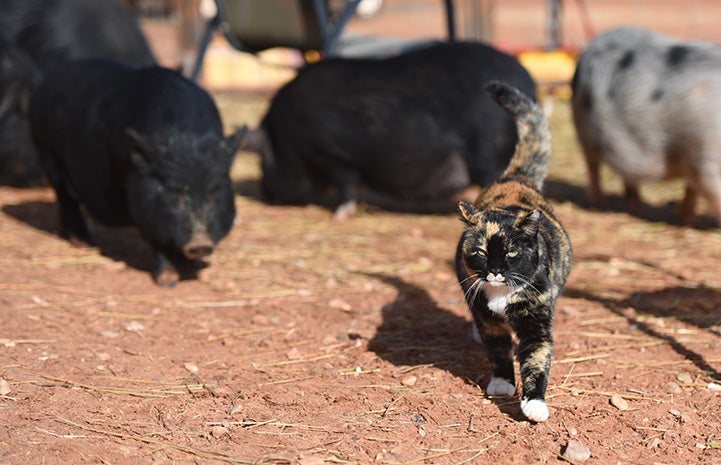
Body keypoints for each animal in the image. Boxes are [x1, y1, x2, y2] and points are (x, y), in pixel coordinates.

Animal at [29, 59, 245, 286]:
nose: (200, 243)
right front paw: (168, 282)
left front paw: (191, 267)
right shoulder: (140, 199)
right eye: (171, 191)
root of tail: (45, 83)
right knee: (66, 198)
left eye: (215, 191)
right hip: (46, 151)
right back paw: (83, 243)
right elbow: (156, 236)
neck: (184, 138)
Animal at [255, 40, 536, 219]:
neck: (285, 137)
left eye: (263, 163)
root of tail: (528, 83)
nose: (266, 196)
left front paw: (339, 216)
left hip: (489, 151)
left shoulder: (329, 152)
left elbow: (347, 183)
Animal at [456, 81, 572, 422]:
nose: (494, 272)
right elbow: (498, 350)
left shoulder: (536, 319)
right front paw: (502, 382)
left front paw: (534, 404)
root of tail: (515, 177)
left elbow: (536, 357)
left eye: (509, 254)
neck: (501, 295)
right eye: (481, 252)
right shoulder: (487, 316)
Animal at [572, 27, 721, 225]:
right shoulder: (705, 158)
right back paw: (599, 207)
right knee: (593, 167)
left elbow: (692, 189)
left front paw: (686, 221)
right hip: (584, 131)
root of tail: (588, 50)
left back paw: (636, 206)